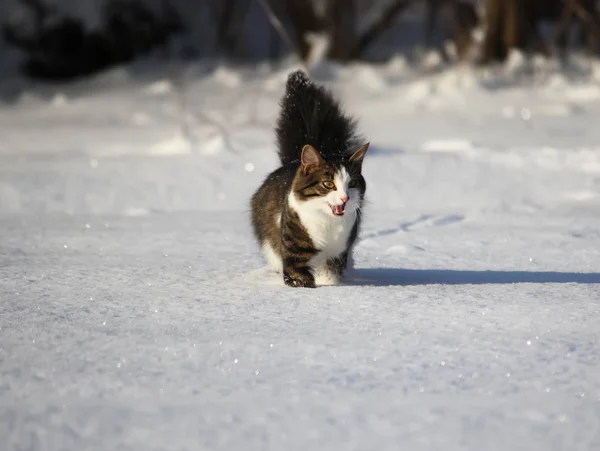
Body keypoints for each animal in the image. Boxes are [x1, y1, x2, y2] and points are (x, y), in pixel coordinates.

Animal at [250, 70, 370, 290]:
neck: (328, 224)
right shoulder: (294, 253)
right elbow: (299, 278)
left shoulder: (339, 252)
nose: (345, 198)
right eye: (328, 184)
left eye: (352, 184)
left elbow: (332, 275)